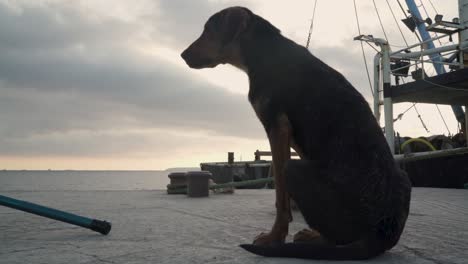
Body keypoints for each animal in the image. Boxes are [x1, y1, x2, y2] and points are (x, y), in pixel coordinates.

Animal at [181, 6, 412, 260]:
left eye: (209, 31)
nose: (182, 55)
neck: (262, 52)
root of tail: (382, 233)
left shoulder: (277, 128)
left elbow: (281, 198)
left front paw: (274, 238)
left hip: (294, 169)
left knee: (337, 242)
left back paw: (313, 240)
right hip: (405, 178)